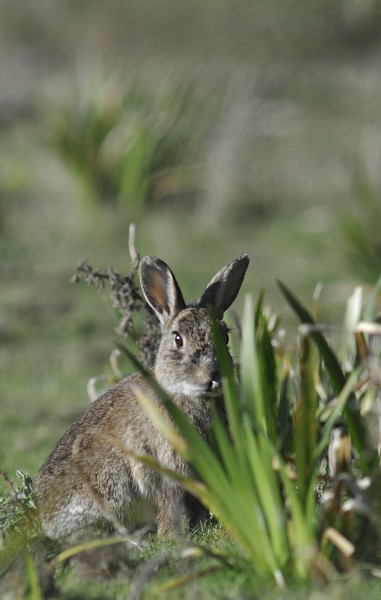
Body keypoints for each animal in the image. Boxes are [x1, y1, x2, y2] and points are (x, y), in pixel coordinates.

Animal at [35, 253, 249, 540]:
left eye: (225, 336)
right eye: (178, 339)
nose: (214, 375)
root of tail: (46, 519)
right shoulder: (163, 473)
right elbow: (169, 507)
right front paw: (170, 537)